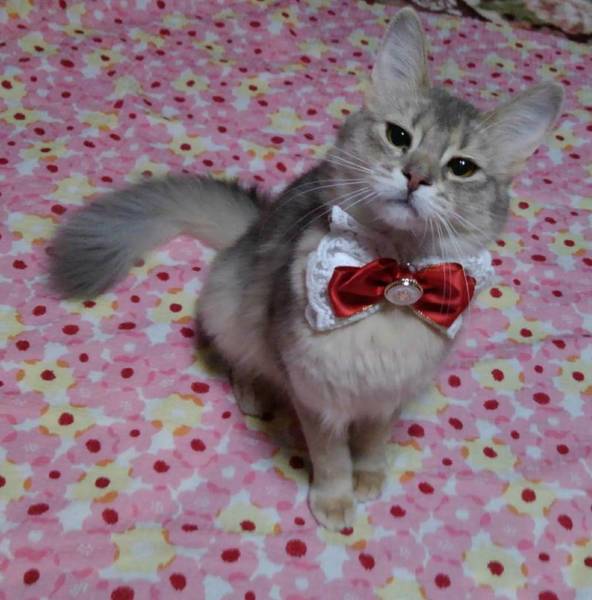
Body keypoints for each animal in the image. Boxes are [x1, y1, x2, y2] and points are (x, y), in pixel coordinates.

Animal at [49, 8, 562, 529]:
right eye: (398, 136)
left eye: (462, 167)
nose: (416, 177)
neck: (394, 280)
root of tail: (250, 227)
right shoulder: (315, 392)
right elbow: (331, 456)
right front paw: (335, 500)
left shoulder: (387, 396)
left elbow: (372, 442)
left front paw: (369, 476)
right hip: (232, 308)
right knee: (241, 357)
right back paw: (254, 394)